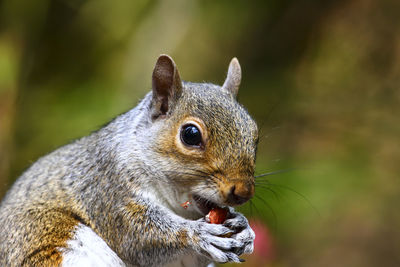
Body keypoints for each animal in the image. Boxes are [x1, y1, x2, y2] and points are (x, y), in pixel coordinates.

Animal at [0, 55, 260, 267]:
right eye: (190, 134)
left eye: (255, 135)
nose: (243, 192)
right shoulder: (108, 188)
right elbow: (136, 235)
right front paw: (196, 234)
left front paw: (244, 228)